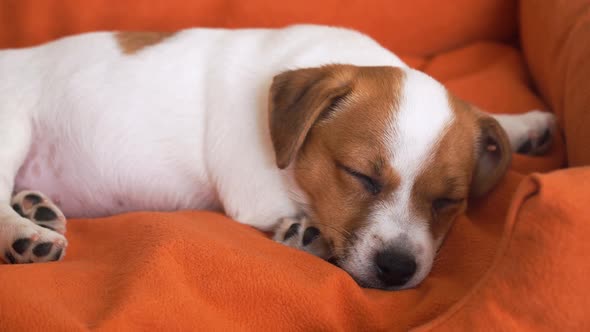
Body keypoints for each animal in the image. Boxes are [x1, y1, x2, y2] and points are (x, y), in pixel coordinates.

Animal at [0, 24, 556, 290]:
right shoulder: (255, 189)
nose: (398, 268)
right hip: (12, 129)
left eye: (448, 201)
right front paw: (306, 234)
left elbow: (486, 117)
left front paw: (523, 125)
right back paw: (26, 234)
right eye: (359, 176)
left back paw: (35, 205)